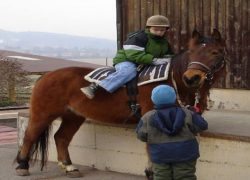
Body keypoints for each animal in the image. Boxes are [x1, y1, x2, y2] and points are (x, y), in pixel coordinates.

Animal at [14, 29, 227, 177]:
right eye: (191, 52)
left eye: (215, 52)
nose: (191, 78)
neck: (170, 81)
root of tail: (46, 76)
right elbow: (151, 147)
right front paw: (150, 172)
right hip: (43, 114)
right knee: (30, 136)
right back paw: (22, 165)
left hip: (73, 116)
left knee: (61, 138)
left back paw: (69, 167)